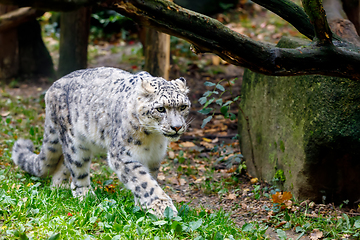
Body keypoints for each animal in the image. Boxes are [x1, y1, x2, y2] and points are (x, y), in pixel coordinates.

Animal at [11, 66, 191, 217]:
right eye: (161, 109)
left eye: (183, 106)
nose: (177, 127)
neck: (153, 139)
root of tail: (52, 87)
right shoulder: (122, 155)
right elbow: (144, 181)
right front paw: (163, 207)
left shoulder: (154, 158)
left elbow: (148, 179)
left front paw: (142, 206)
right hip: (75, 143)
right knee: (77, 169)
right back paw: (86, 195)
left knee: (63, 165)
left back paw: (59, 188)